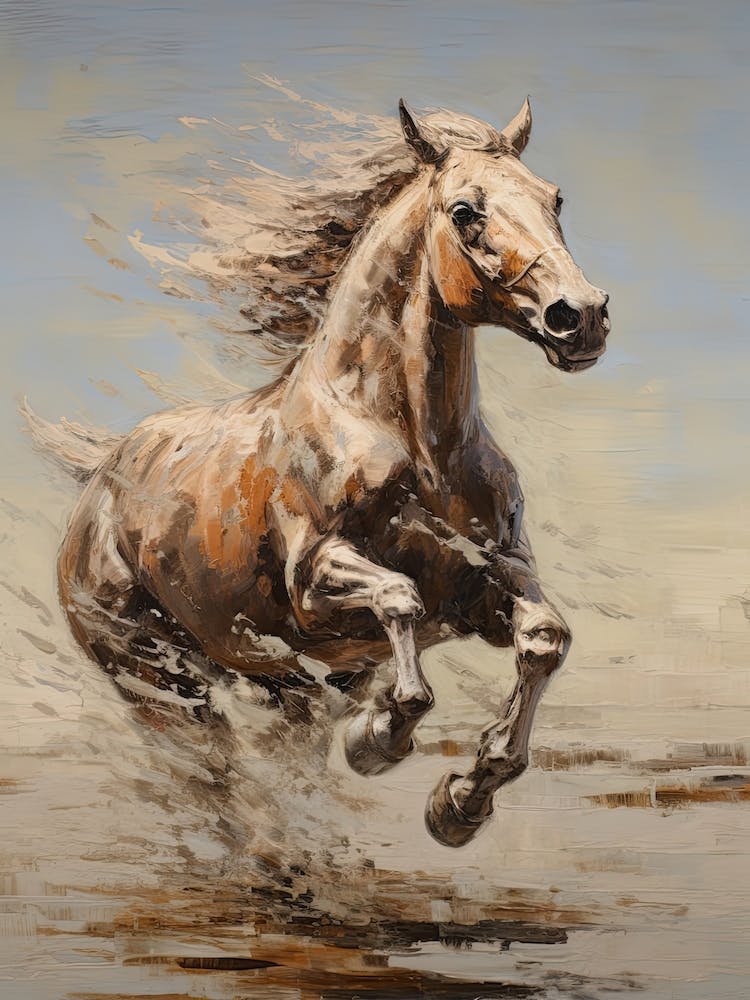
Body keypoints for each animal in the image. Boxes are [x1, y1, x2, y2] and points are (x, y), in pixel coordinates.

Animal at [28, 97, 610, 847]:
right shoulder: (312, 582)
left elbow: (544, 638)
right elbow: (398, 599)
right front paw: (381, 735)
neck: (421, 450)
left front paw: (461, 800)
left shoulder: (485, 581)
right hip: (157, 679)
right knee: (208, 779)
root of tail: (100, 479)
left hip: (281, 688)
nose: (582, 316)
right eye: (464, 211)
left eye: (554, 198)